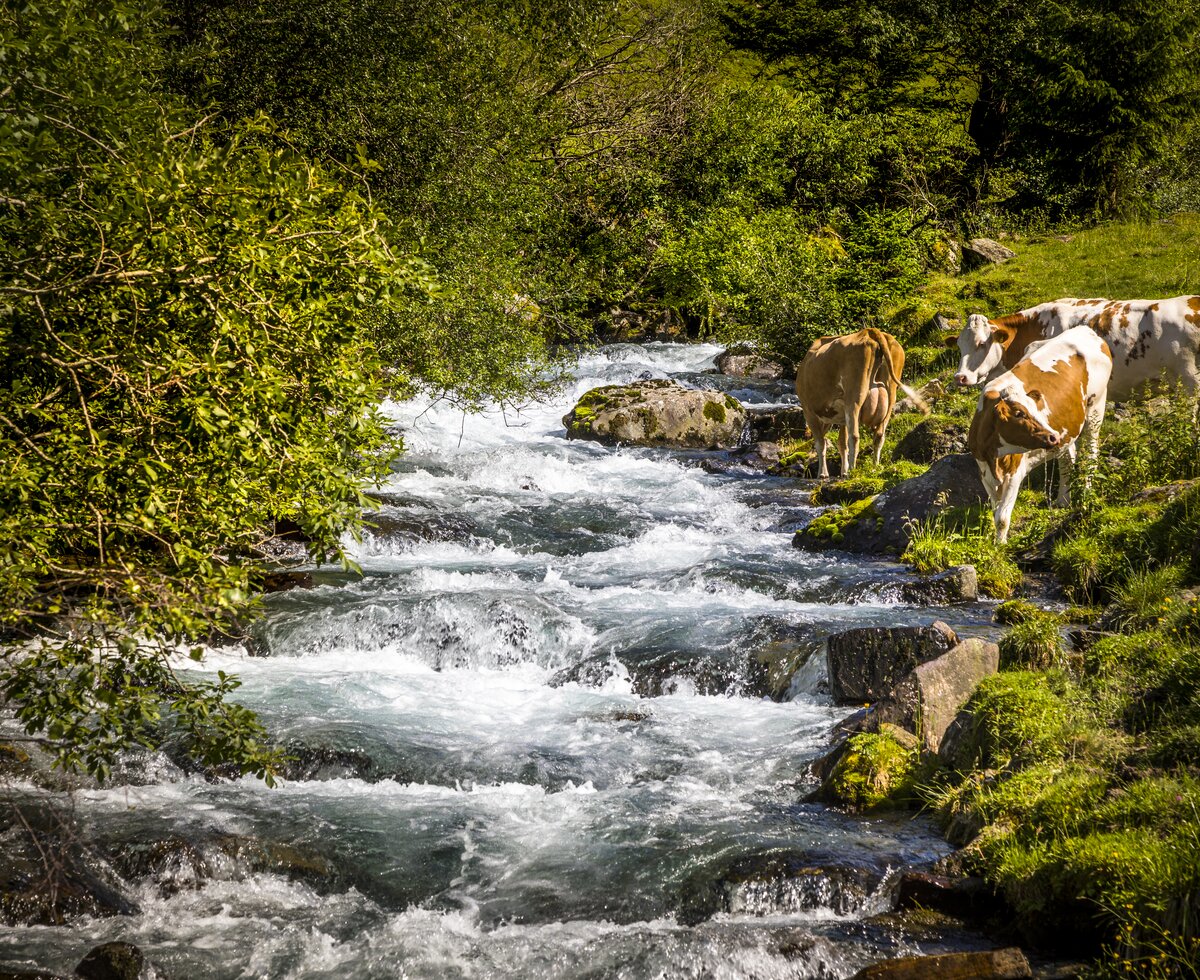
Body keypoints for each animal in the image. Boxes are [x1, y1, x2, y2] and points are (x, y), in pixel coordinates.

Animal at [796, 328, 926, 477]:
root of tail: (869, 331)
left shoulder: (809, 411)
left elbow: (821, 443)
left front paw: (823, 474)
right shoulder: (841, 417)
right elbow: (842, 443)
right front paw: (843, 471)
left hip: (854, 396)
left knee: (854, 437)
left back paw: (852, 470)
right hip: (890, 394)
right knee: (879, 435)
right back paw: (875, 466)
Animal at [964, 326, 1113, 542]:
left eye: (1035, 409)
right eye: (1019, 413)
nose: (1052, 436)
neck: (993, 457)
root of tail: (1085, 329)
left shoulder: (1015, 473)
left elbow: (1002, 517)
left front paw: (1000, 545)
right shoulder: (984, 471)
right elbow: (995, 511)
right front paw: (997, 541)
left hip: (1096, 407)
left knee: (1091, 454)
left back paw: (1085, 493)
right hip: (1067, 432)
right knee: (1067, 460)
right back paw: (1063, 500)